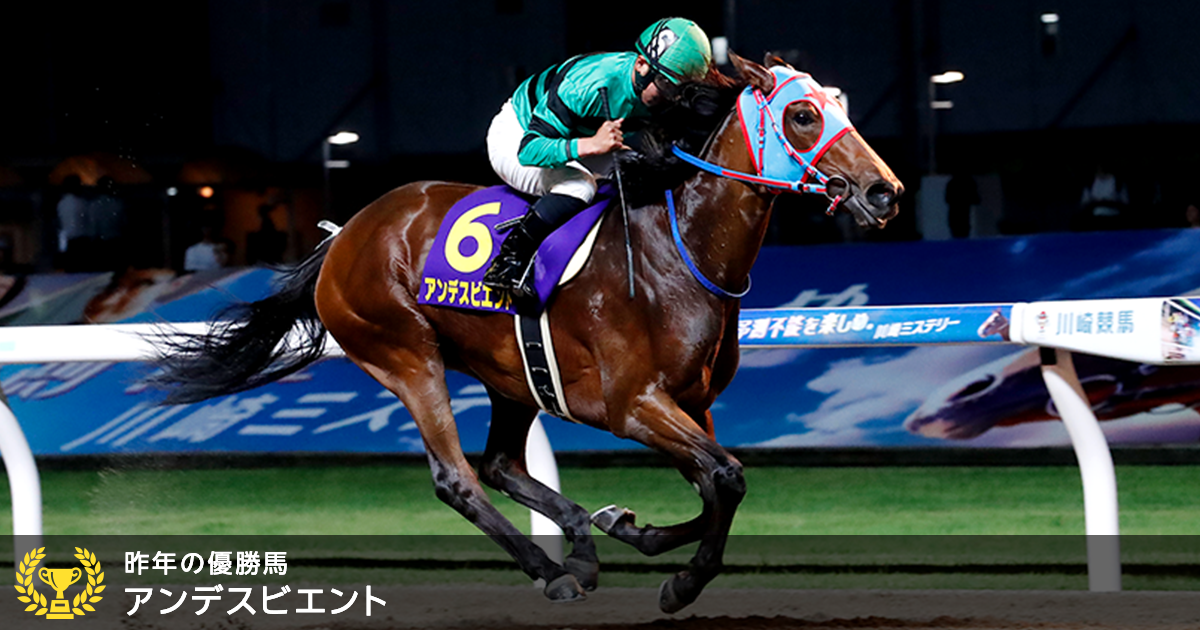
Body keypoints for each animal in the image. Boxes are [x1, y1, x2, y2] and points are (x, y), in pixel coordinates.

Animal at [150, 53, 902, 612]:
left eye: (839, 106)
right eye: (802, 115)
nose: (884, 192)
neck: (677, 249)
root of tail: (345, 236)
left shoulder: (693, 403)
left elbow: (715, 483)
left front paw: (630, 527)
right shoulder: (633, 404)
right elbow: (725, 476)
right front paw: (680, 582)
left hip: (510, 375)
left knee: (502, 464)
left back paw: (581, 548)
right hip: (403, 353)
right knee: (457, 478)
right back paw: (552, 569)